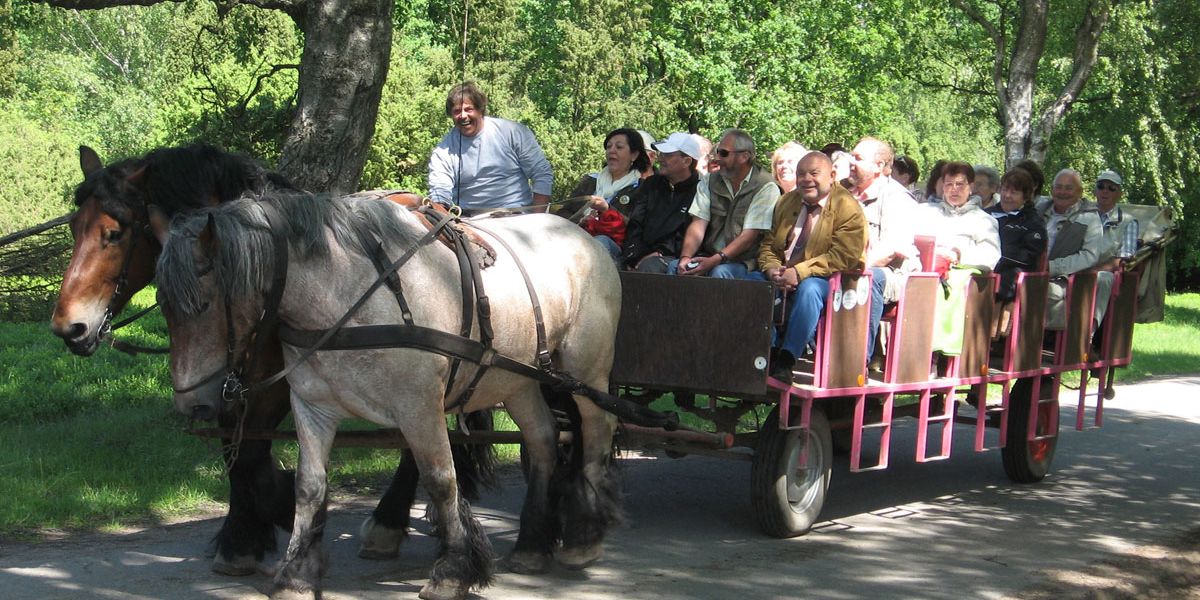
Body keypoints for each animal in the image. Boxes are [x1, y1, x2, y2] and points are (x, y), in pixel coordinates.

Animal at [50, 145, 482, 576]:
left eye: (114, 233)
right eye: (74, 229)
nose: (68, 327)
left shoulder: (274, 385)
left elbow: (251, 458)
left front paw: (268, 521)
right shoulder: (226, 382)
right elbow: (238, 455)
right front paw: (248, 531)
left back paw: (387, 522)